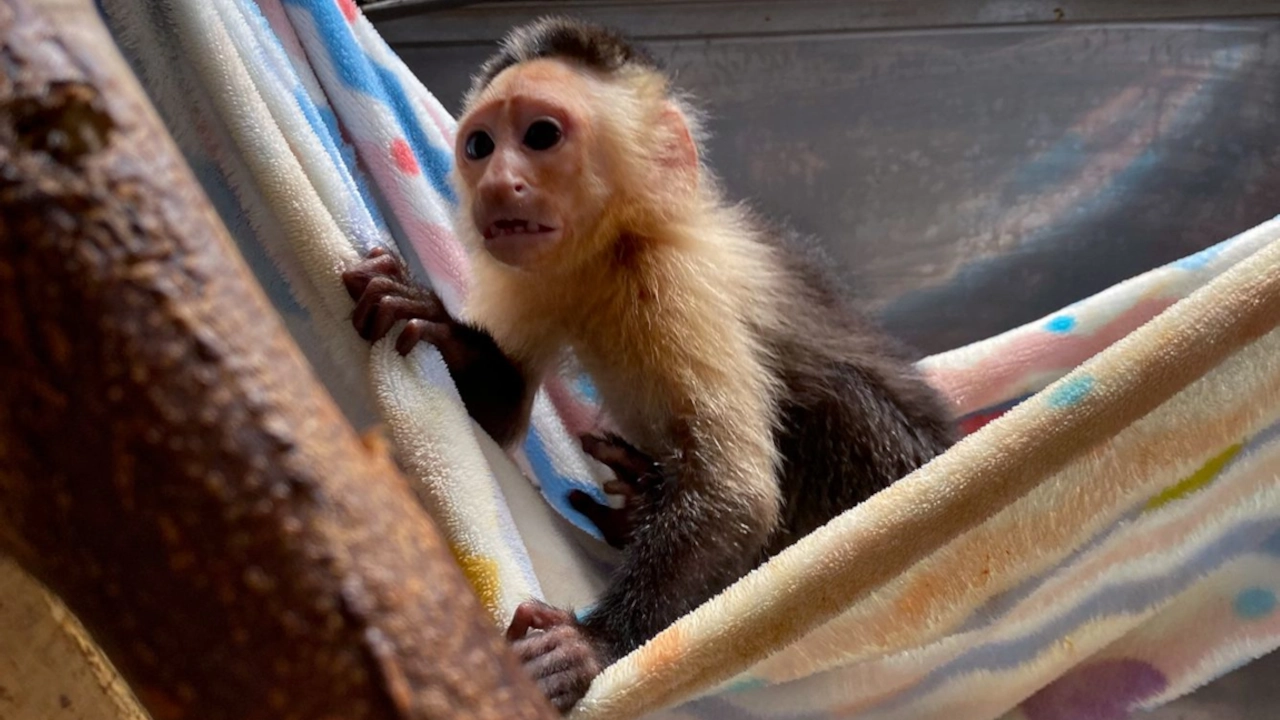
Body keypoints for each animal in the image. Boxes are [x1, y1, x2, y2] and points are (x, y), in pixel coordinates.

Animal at [341, 16, 957, 713]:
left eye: (540, 135)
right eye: (479, 145)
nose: (497, 184)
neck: (610, 252)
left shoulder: (675, 279)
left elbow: (734, 494)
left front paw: (594, 647)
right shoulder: (525, 268)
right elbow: (500, 418)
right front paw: (442, 331)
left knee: (833, 401)